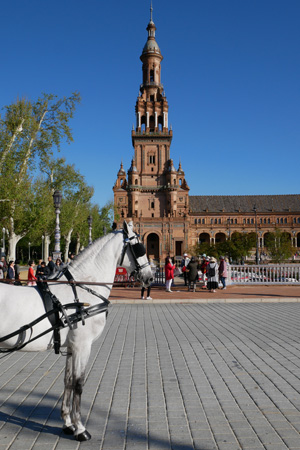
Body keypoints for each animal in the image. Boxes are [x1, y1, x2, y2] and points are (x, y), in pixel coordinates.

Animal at [0, 221, 152, 440]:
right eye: (140, 248)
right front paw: (80, 428)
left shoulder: (72, 347)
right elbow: (79, 384)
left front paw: (67, 423)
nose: (150, 277)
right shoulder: (83, 345)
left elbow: (68, 381)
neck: (82, 288)